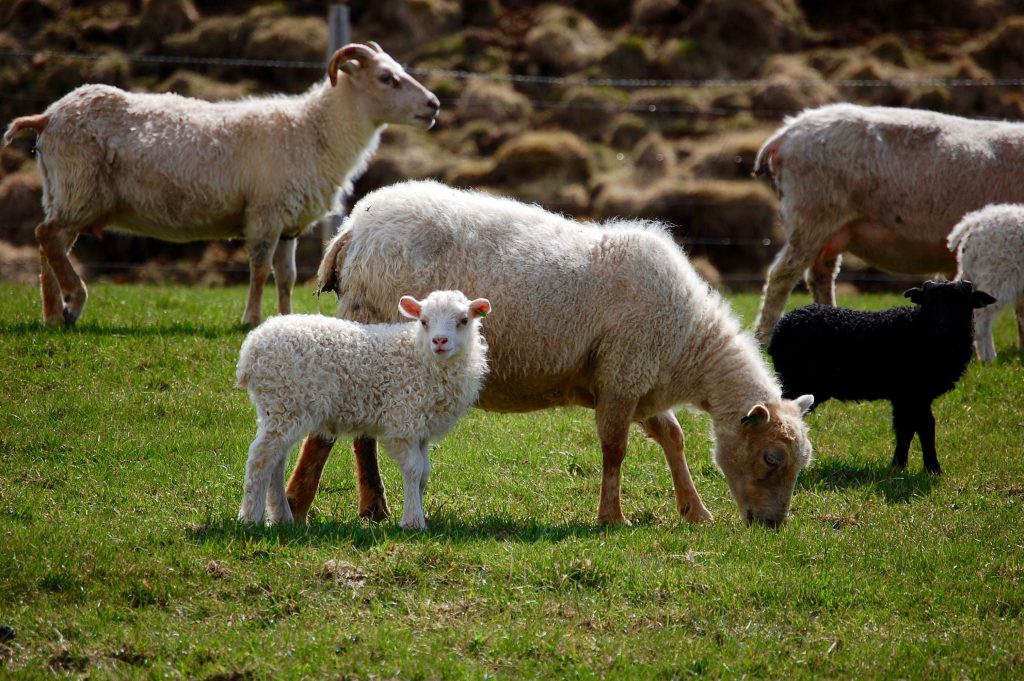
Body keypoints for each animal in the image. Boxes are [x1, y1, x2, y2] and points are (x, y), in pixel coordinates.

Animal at [3, 41, 440, 328]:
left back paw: (54, 315)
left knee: (49, 246)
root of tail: (48, 116)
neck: (313, 131)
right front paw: (251, 318)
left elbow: (286, 275)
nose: (433, 105)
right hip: (80, 190)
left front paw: (284, 317)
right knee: (46, 236)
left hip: (64, 192)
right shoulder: (265, 212)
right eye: (386, 78)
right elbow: (260, 269)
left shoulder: (288, 222)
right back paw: (74, 302)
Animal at [234, 289, 491, 529]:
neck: (420, 354)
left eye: (464, 320)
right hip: (285, 403)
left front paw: (417, 512)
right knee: (261, 457)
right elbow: (414, 470)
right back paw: (251, 517)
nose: (439, 341)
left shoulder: (422, 427)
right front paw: (413, 521)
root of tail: (252, 347)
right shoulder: (403, 421)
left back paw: (282, 517)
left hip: (281, 410)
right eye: (424, 321)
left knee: (276, 461)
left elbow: (424, 474)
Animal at [285, 180, 815, 528]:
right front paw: (612, 518)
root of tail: (352, 229)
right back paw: (297, 503)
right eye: (771, 458)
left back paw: (372, 507)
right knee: (330, 431)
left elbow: (673, 438)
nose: (772, 526)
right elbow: (615, 449)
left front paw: (694, 510)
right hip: (374, 324)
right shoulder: (624, 373)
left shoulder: (637, 382)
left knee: (362, 435)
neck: (689, 343)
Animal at [752, 103, 1024, 344]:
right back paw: (763, 337)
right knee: (782, 276)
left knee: (820, 275)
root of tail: (785, 134)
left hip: (833, 228)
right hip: (813, 213)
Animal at [768, 280, 995, 474]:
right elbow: (925, 426)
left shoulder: (906, 396)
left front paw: (898, 465)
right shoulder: (915, 392)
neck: (918, 331)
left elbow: (905, 428)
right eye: (929, 302)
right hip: (797, 382)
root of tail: (781, 326)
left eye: (961, 302)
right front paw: (932, 468)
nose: (943, 327)